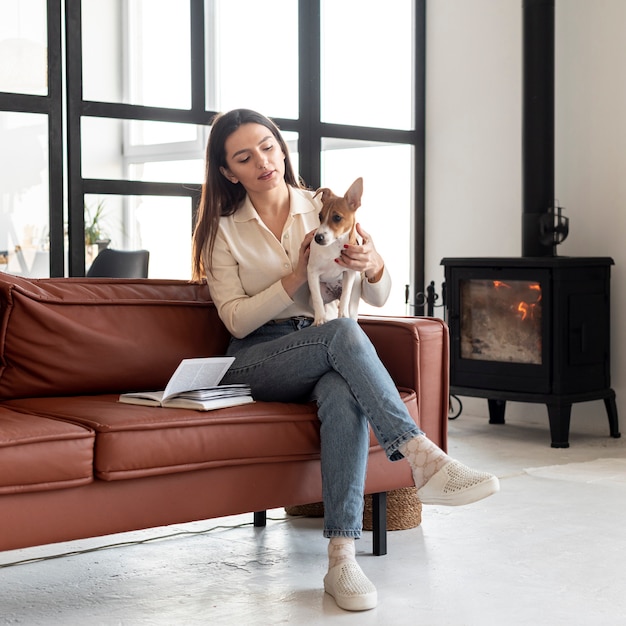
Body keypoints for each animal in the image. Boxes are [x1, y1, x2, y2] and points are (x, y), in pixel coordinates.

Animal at [306, 174, 364, 324]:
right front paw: (319, 320)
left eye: (337, 217)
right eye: (320, 216)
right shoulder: (312, 272)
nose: (318, 238)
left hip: (356, 289)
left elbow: (345, 296)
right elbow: (317, 299)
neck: (333, 246)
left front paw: (343, 315)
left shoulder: (350, 273)